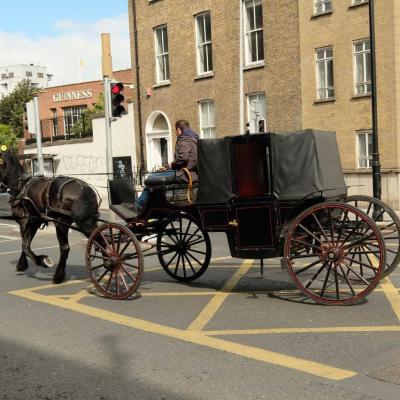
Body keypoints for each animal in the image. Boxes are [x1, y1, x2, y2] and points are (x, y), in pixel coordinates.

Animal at [0, 151, 99, 284]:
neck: (20, 185)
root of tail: (82, 187)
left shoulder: (24, 220)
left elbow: (25, 245)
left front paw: (42, 260)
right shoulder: (34, 221)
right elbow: (26, 243)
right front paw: (22, 265)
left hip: (61, 222)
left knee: (65, 248)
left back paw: (58, 276)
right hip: (88, 222)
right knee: (99, 238)